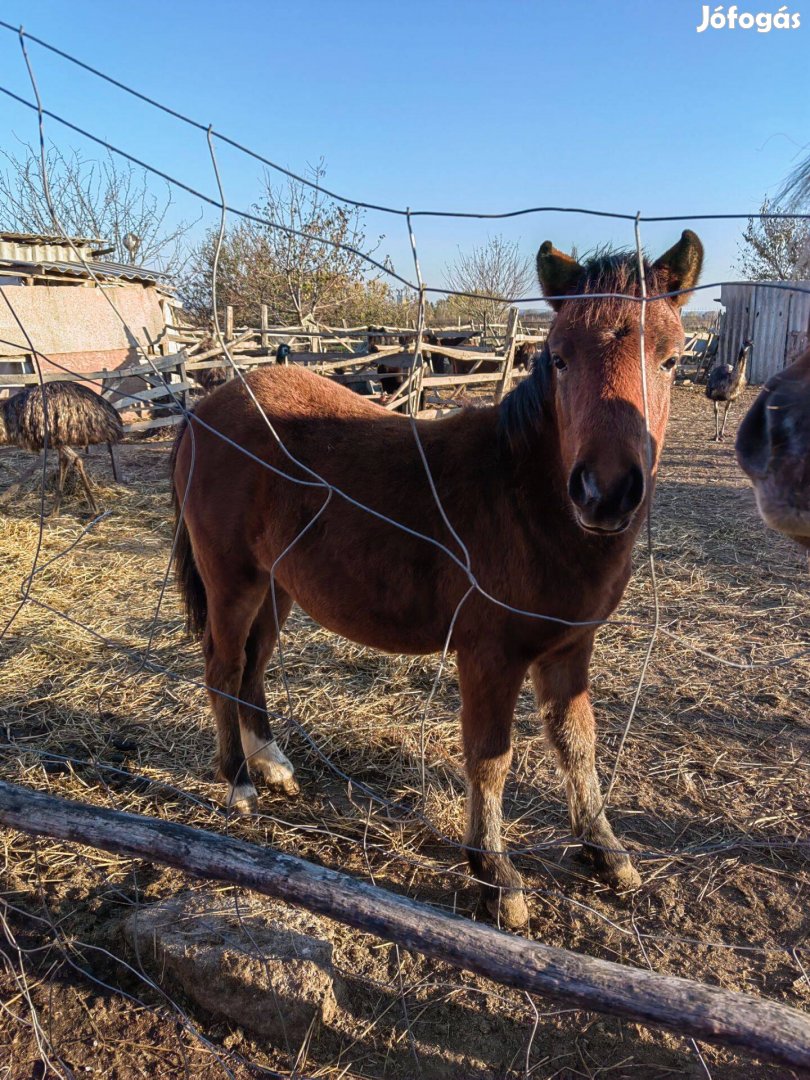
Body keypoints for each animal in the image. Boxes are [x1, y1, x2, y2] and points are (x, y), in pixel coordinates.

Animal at [171, 234, 704, 928]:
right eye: (559, 359)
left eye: (670, 360)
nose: (605, 493)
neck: (522, 498)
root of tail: (205, 407)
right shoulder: (489, 656)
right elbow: (490, 758)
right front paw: (495, 876)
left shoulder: (570, 646)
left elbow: (577, 743)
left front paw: (605, 850)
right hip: (232, 577)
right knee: (224, 665)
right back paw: (238, 781)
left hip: (275, 583)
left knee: (254, 665)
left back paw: (273, 764)